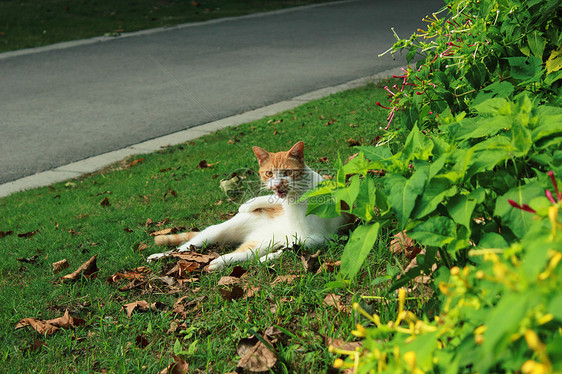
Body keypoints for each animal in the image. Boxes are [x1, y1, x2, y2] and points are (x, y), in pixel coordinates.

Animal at [147, 141, 348, 272]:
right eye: (269, 173)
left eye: (288, 172)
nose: (277, 185)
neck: (292, 199)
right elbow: (267, 198)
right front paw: (245, 205)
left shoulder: (316, 237)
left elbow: (291, 247)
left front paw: (267, 259)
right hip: (214, 233)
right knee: (182, 248)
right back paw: (158, 256)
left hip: (259, 245)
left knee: (241, 255)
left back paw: (219, 262)